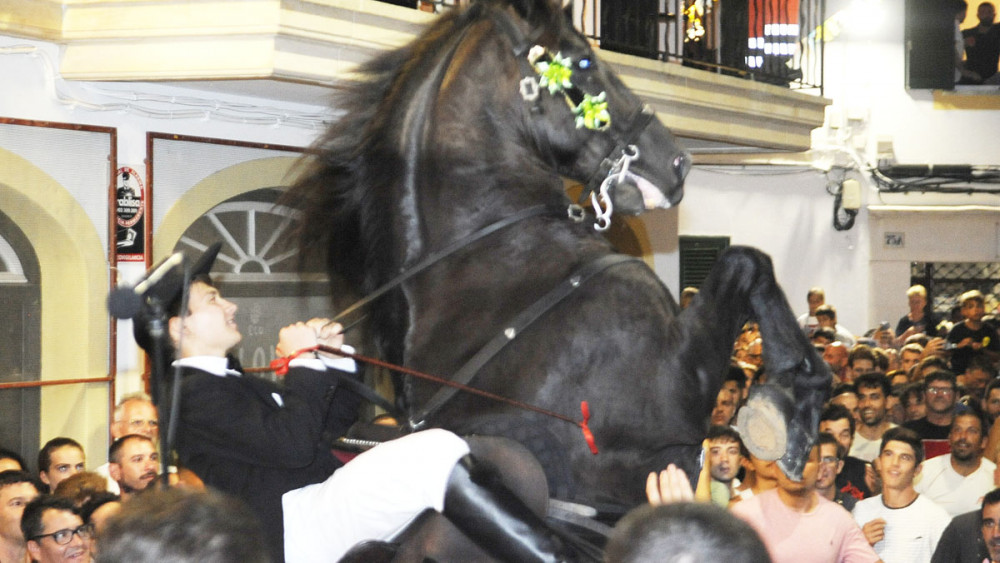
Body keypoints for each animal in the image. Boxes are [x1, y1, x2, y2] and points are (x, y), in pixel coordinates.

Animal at [286, 0, 832, 508]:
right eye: (585, 60)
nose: (679, 162)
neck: (498, 260)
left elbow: (750, 262)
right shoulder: (675, 395)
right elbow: (748, 261)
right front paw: (791, 402)